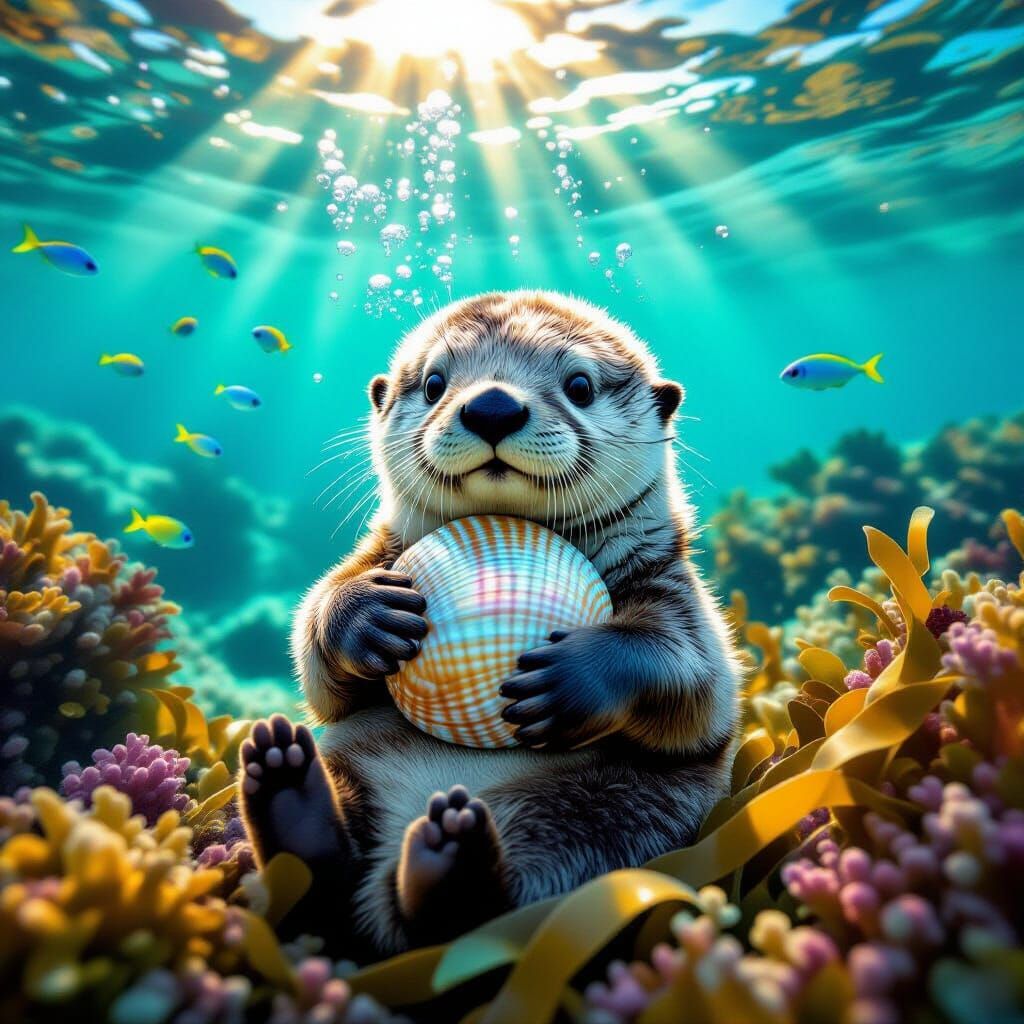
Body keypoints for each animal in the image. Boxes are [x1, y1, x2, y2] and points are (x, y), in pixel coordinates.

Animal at [239, 290, 740, 958]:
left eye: (579, 385)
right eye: (433, 383)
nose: (493, 405)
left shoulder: (675, 591)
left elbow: (689, 672)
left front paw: (568, 680)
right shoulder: (378, 553)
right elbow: (317, 646)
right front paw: (365, 615)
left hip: (599, 816)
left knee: (490, 904)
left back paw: (450, 858)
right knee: (321, 886)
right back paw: (292, 793)